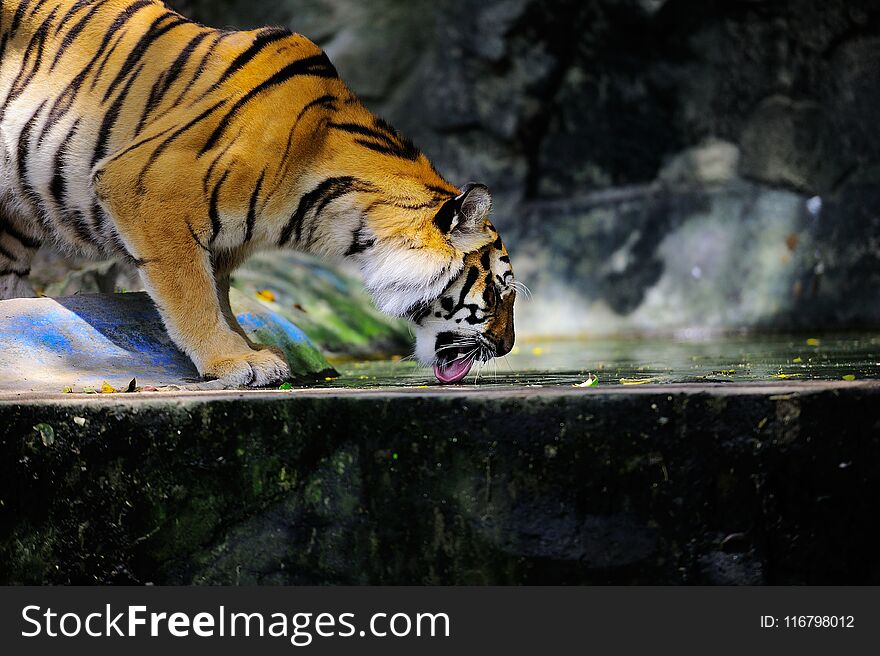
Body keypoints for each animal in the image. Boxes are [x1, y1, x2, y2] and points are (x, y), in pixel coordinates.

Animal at [0, 0, 516, 386]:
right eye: (498, 292)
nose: (507, 346)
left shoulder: (224, 240)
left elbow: (219, 294)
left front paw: (251, 349)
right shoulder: (147, 189)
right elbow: (191, 293)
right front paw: (233, 361)